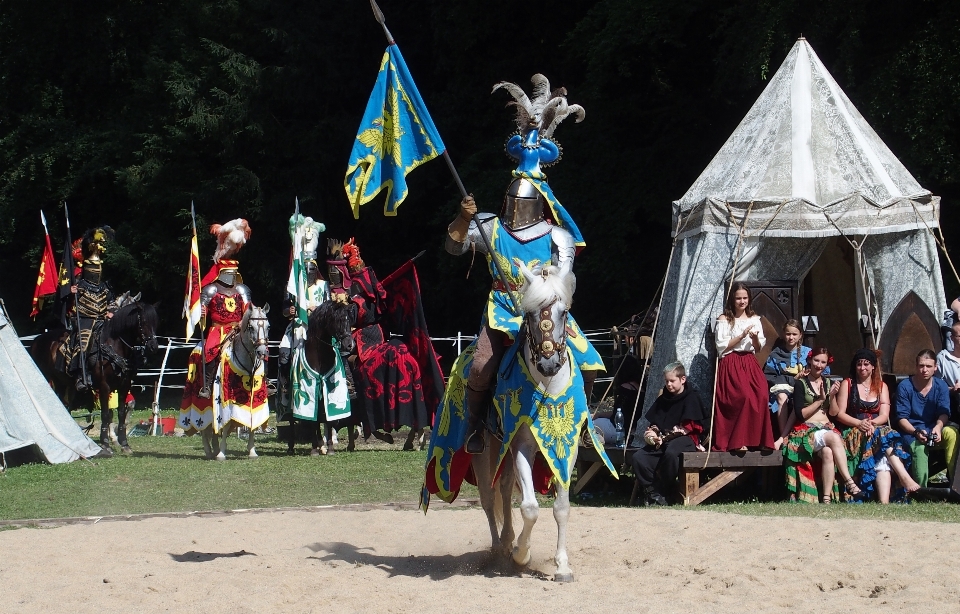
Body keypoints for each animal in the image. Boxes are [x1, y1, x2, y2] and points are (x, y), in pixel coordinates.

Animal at [30, 304, 158, 458]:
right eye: (143, 321)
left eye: (155, 322)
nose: (153, 346)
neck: (114, 346)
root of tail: (36, 341)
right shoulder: (104, 387)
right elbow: (106, 414)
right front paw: (105, 445)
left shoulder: (124, 386)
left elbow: (121, 413)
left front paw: (124, 444)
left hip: (63, 384)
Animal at [201, 304, 270, 462]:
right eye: (251, 327)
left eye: (268, 326)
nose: (262, 352)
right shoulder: (227, 401)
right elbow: (226, 425)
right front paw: (222, 453)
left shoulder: (256, 398)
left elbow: (253, 423)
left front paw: (252, 451)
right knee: (203, 427)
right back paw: (209, 450)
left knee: (214, 428)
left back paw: (214, 448)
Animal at [476, 264, 580, 584]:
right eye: (531, 313)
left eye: (563, 312)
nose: (548, 364)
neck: (547, 387)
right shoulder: (521, 445)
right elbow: (531, 507)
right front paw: (522, 555)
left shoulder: (566, 449)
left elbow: (561, 506)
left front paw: (562, 566)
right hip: (487, 449)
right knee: (489, 497)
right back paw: (500, 549)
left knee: (505, 488)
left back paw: (508, 540)